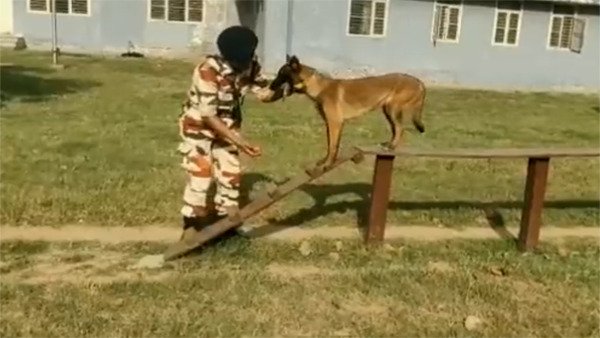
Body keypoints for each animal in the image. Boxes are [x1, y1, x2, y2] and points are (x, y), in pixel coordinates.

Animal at [268, 55, 426, 170]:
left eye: (281, 74)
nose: (270, 86)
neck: (317, 86)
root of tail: (418, 81)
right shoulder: (332, 124)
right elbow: (331, 145)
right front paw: (326, 161)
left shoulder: (335, 123)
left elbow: (332, 146)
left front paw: (327, 164)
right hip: (387, 110)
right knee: (396, 129)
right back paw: (389, 144)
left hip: (392, 108)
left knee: (400, 128)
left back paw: (391, 146)